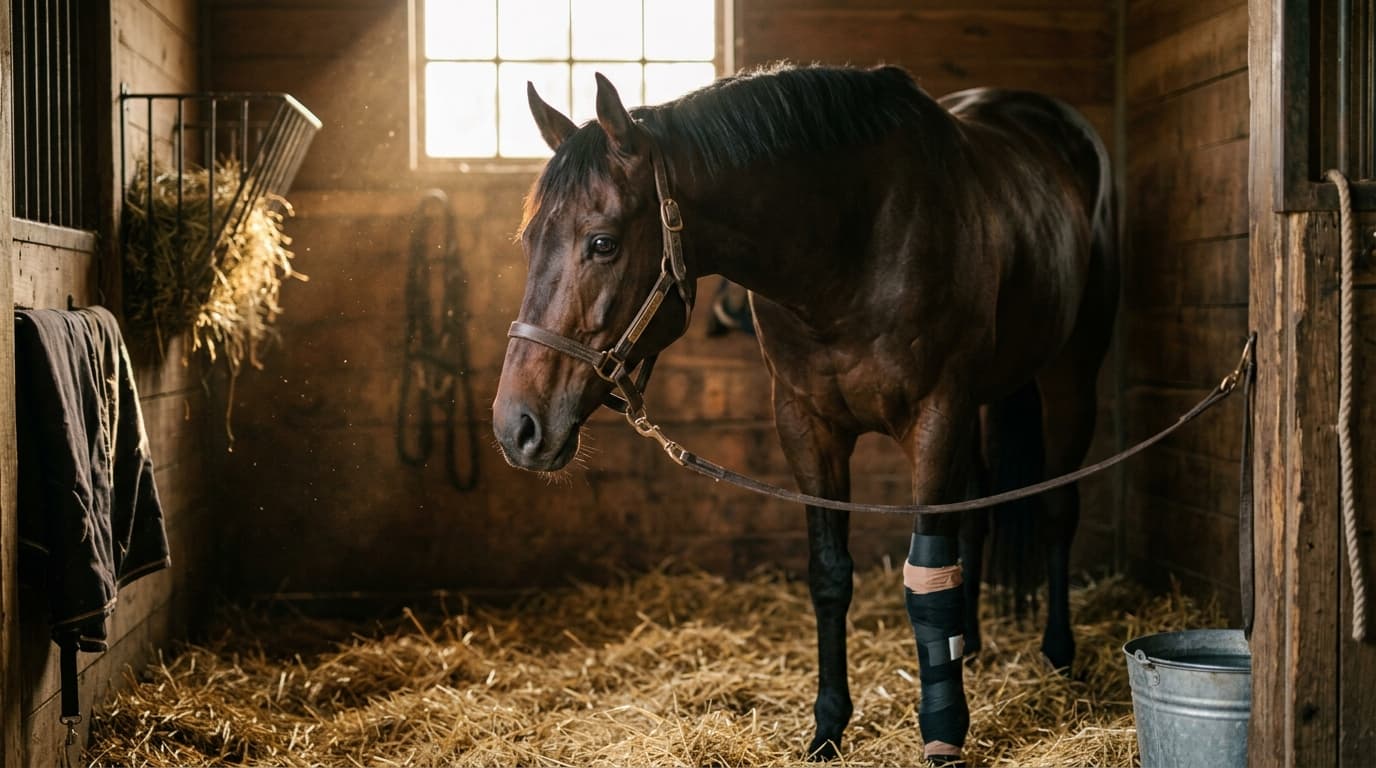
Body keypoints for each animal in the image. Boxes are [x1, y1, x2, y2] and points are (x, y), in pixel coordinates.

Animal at [492, 63, 1118, 765]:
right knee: (977, 514)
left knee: (1056, 510)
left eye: (601, 243)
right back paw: (975, 649)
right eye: (529, 240)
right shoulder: (806, 426)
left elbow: (927, 576)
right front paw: (828, 729)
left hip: (1069, 375)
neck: (854, 240)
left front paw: (943, 731)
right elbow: (830, 575)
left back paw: (1059, 655)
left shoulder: (936, 416)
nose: (516, 427)